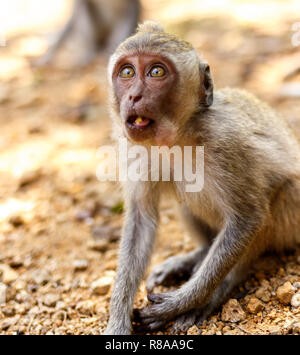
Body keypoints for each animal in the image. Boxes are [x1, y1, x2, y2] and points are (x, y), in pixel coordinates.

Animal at [103, 22, 300, 336]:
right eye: (128, 72)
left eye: (156, 72)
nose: (133, 96)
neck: (180, 134)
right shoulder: (133, 148)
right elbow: (141, 220)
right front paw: (117, 321)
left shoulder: (226, 141)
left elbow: (249, 217)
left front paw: (183, 302)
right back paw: (196, 256)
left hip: (291, 216)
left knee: (272, 201)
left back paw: (220, 290)